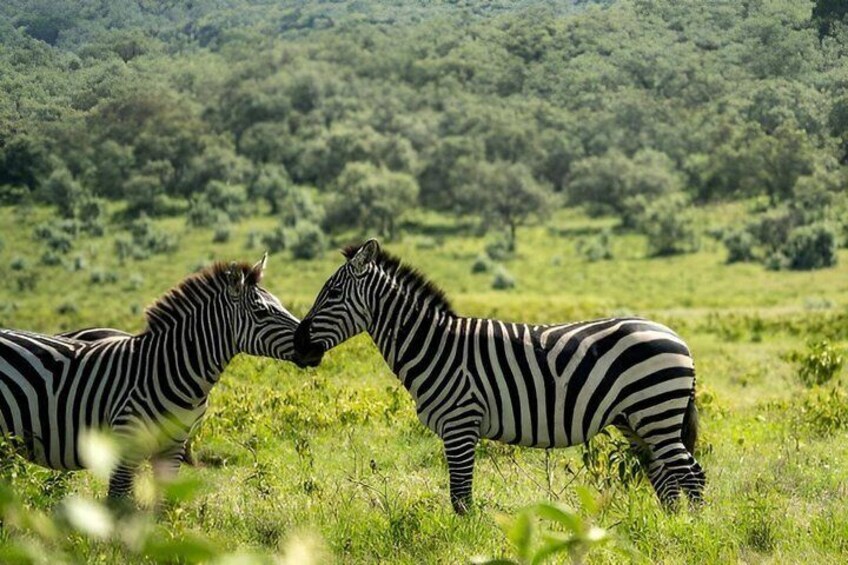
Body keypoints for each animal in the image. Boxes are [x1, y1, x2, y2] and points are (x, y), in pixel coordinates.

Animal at [0, 255, 299, 501]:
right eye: (262, 312)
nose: (307, 339)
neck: (171, 368)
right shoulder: (126, 442)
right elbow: (118, 504)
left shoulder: (172, 447)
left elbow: (164, 505)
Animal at [293, 240, 704, 513]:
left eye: (332, 293)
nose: (298, 344)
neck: (434, 345)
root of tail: (677, 337)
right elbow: (461, 495)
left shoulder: (460, 423)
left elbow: (461, 497)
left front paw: (463, 543)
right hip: (635, 420)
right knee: (665, 476)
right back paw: (667, 526)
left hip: (655, 411)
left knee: (690, 474)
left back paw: (691, 532)